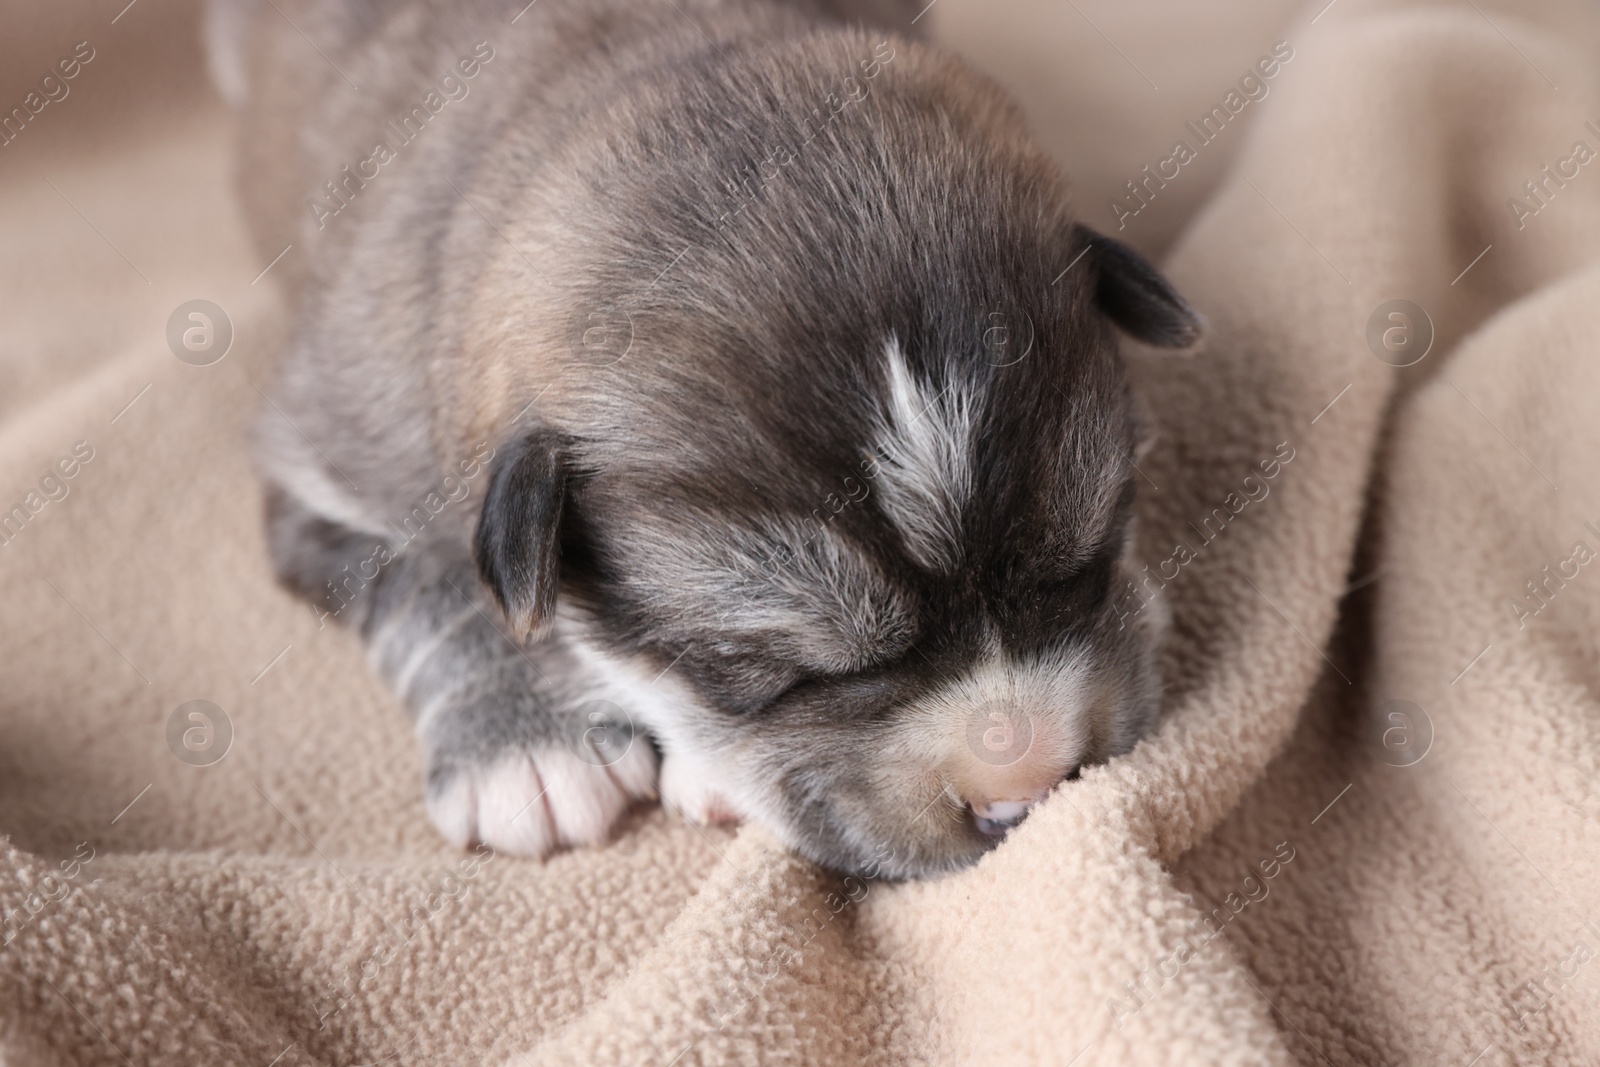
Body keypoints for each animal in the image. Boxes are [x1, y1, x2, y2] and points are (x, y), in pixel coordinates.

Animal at [206, 0, 1196, 876]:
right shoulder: (326, 462)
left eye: (1086, 557)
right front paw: (527, 751)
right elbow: (431, 583)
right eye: (777, 672)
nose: (1027, 791)